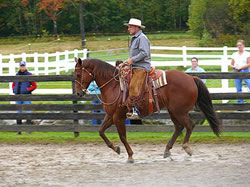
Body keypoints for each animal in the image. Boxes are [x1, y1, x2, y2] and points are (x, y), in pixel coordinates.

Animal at [73, 57, 222, 163]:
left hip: (179, 111)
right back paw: (167, 150)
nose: (79, 93)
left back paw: (186, 147)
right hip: (173, 111)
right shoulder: (110, 116)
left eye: (79, 75)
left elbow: (122, 136)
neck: (114, 85)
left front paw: (130, 156)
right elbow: (101, 131)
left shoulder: (118, 117)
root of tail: (191, 78)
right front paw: (116, 149)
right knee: (179, 127)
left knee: (189, 125)